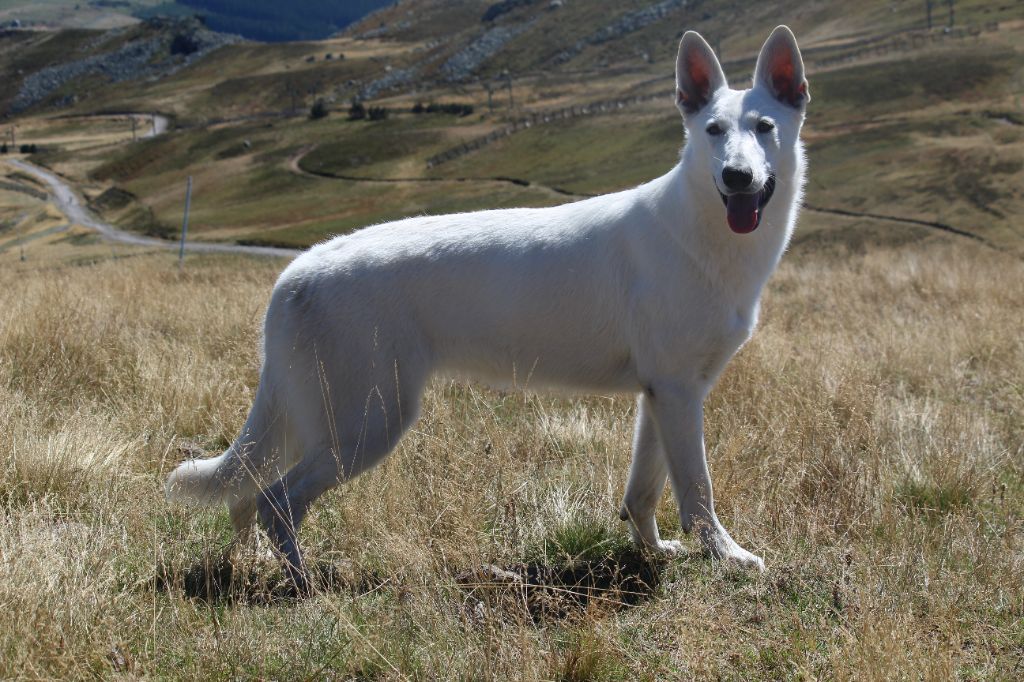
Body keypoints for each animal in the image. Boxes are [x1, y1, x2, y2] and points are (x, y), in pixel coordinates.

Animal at [167, 25, 806, 577]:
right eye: (713, 131)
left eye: (764, 127)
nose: (737, 177)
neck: (702, 231)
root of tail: (295, 272)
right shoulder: (677, 394)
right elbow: (698, 494)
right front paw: (727, 559)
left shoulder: (661, 397)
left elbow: (643, 494)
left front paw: (654, 554)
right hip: (366, 427)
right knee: (277, 502)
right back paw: (306, 585)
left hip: (320, 422)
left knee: (246, 497)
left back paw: (249, 568)